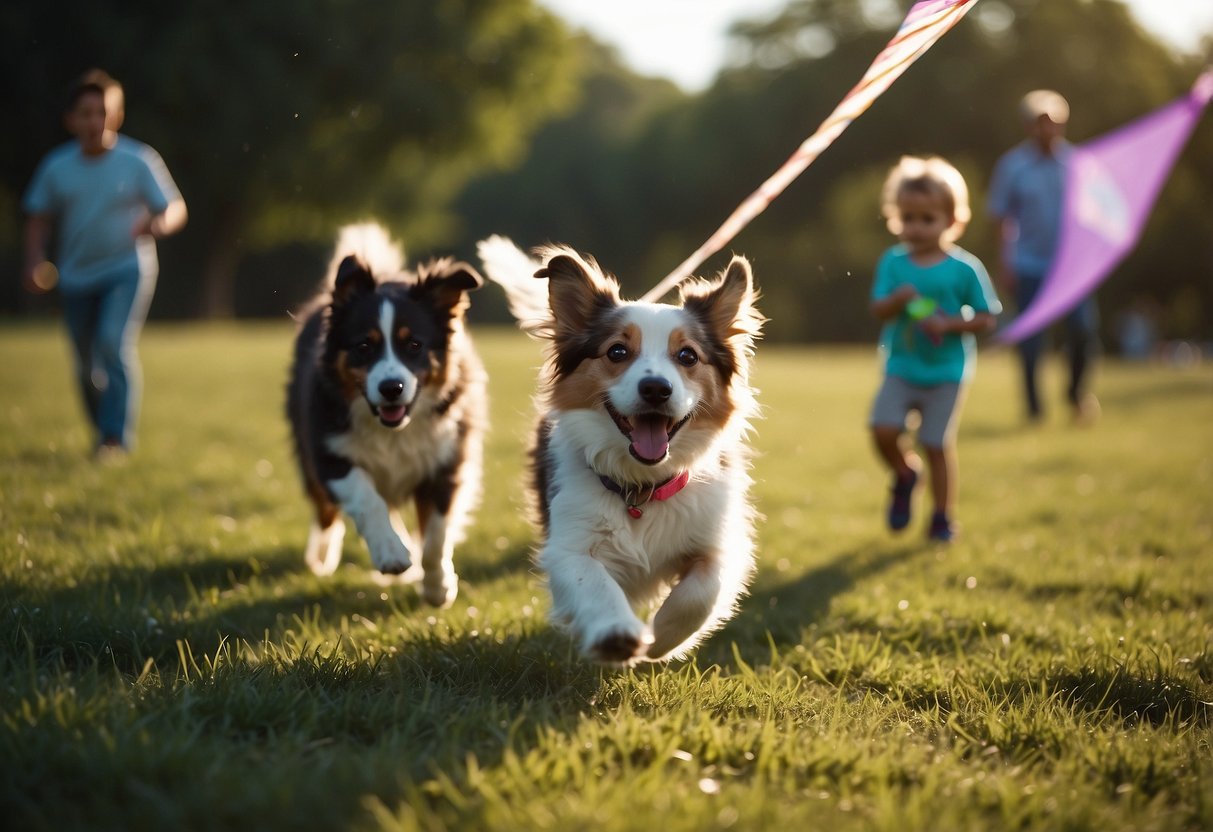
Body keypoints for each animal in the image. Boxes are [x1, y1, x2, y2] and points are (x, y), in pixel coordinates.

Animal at [286, 224, 485, 608]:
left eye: (414, 345)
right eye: (364, 345)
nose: (391, 388)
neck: (393, 430)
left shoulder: (446, 460)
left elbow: (436, 534)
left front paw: (437, 586)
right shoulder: (328, 449)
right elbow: (367, 499)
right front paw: (391, 554)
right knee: (326, 510)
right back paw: (321, 556)